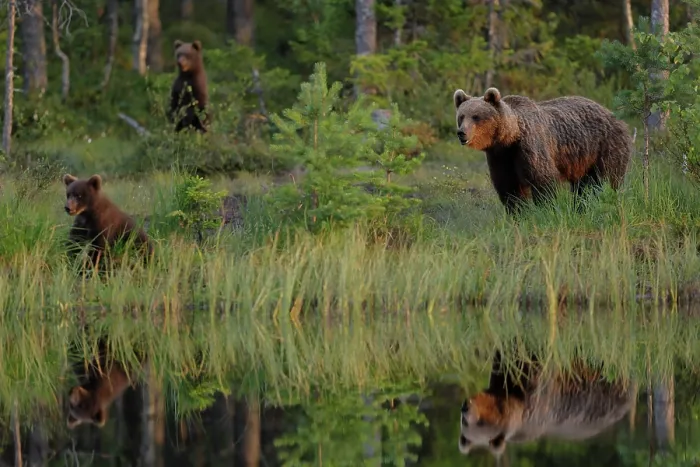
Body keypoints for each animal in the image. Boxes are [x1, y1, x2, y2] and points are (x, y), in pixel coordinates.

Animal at [452, 87, 633, 215]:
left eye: (476, 116)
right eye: (461, 116)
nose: (461, 133)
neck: (510, 137)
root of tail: (614, 115)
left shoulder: (529, 146)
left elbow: (542, 178)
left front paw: (546, 210)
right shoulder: (500, 156)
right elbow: (509, 186)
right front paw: (519, 214)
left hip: (605, 147)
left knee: (605, 180)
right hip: (584, 159)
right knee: (585, 186)